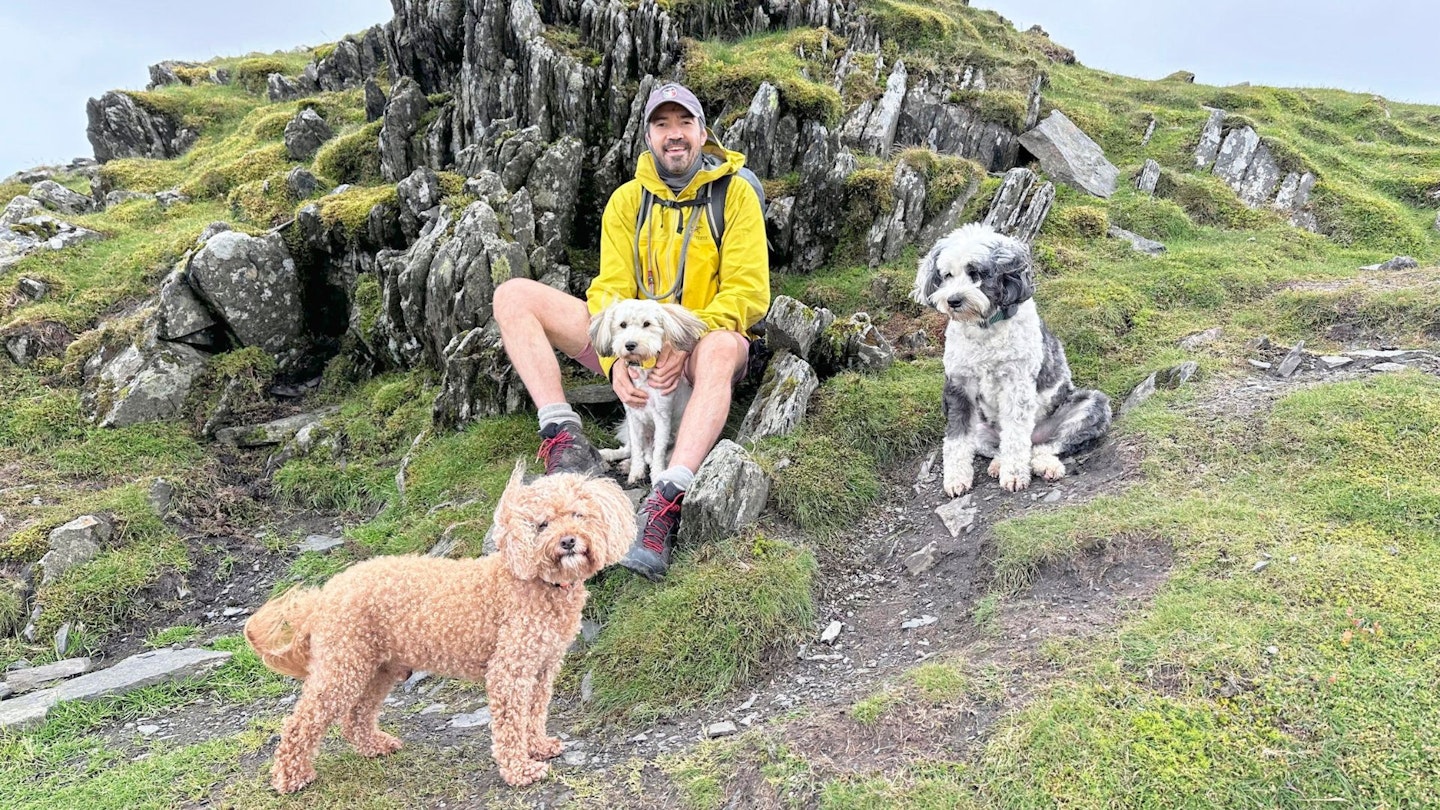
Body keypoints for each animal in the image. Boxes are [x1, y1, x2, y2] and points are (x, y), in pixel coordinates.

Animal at [244, 458, 633, 789]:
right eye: (542, 524)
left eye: (578, 514)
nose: (568, 541)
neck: (533, 582)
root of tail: (326, 593)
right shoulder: (510, 671)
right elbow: (511, 724)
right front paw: (520, 769)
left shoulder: (542, 668)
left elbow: (534, 713)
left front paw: (537, 745)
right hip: (343, 667)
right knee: (300, 722)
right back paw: (291, 776)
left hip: (378, 668)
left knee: (355, 717)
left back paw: (375, 745)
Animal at [590, 298, 708, 481]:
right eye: (622, 324)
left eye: (647, 324)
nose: (630, 344)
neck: (643, 373)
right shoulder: (633, 417)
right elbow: (636, 448)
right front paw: (635, 471)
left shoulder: (662, 418)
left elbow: (658, 451)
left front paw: (657, 474)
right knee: (630, 449)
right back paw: (613, 456)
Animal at [910, 223, 1111, 495]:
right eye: (946, 275)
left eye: (976, 272)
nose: (953, 300)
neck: (984, 329)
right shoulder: (959, 386)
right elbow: (956, 440)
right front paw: (956, 480)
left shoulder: (1017, 385)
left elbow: (1016, 436)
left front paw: (1014, 476)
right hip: (981, 428)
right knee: (998, 448)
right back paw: (998, 464)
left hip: (1091, 407)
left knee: (1044, 446)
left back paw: (1044, 464)